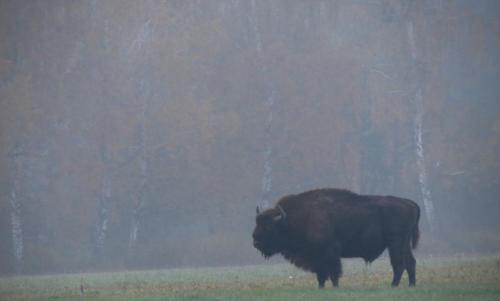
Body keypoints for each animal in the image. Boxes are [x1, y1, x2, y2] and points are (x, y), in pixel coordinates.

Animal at [252, 188, 420, 286]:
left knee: (399, 264)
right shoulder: (317, 257)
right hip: (404, 243)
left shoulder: (330, 253)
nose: (255, 242)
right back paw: (411, 285)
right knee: (410, 262)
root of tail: (409, 203)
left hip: (395, 243)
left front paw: (334, 287)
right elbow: (321, 274)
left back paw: (394, 285)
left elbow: (333, 272)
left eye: (268, 227)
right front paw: (320, 288)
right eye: (257, 223)